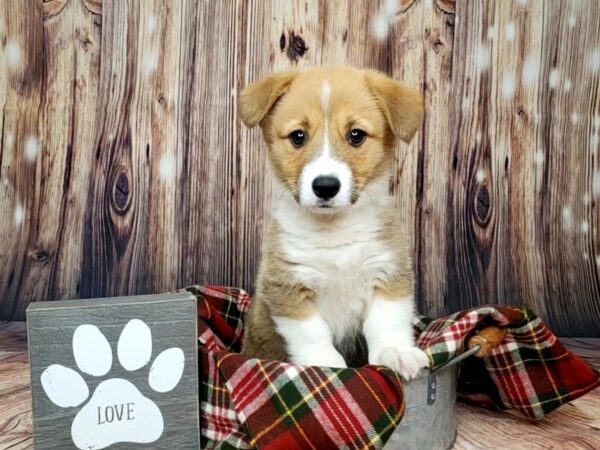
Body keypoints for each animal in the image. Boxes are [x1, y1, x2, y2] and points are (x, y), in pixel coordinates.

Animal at [238, 64, 426, 380]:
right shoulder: (289, 286)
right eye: (298, 136)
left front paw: (396, 353)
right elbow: (312, 333)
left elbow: (387, 321)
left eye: (356, 135)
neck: (333, 230)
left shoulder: (387, 271)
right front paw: (325, 365)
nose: (325, 186)